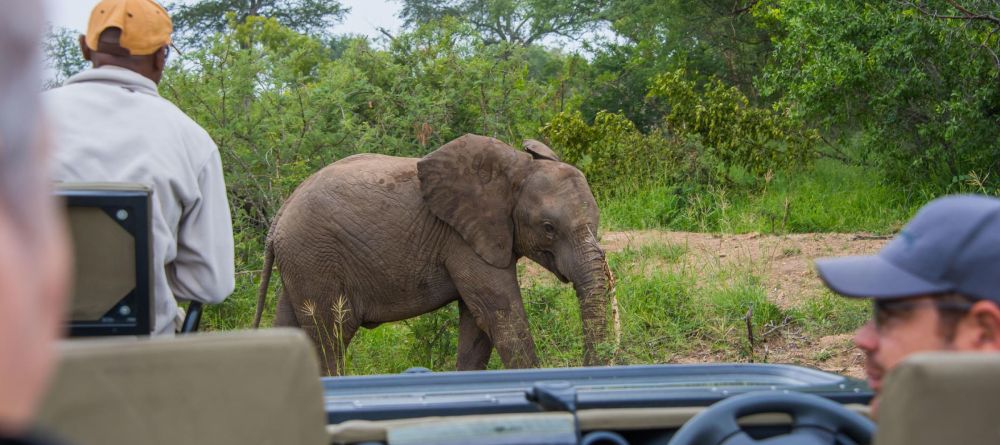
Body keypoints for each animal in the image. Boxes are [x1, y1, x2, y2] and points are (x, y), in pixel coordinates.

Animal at [252, 134, 608, 372]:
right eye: (548, 228)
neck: (515, 168)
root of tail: (279, 216)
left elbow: (478, 324)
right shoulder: (462, 238)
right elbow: (499, 313)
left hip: (302, 262)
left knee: (292, 327)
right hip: (315, 258)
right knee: (330, 337)